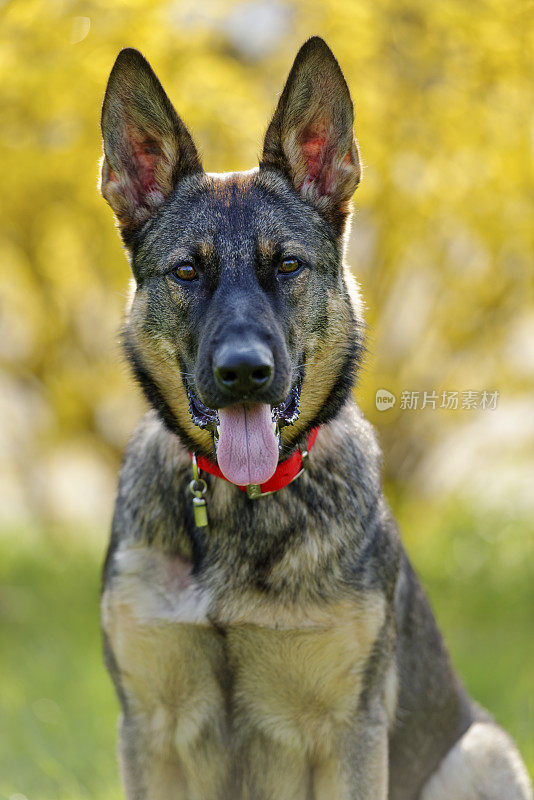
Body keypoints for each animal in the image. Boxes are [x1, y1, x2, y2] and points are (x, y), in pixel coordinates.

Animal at [98, 36, 532, 800]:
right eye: (187, 272)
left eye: (288, 266)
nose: (244, 371)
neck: (240, 503)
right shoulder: (150, 730)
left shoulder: (346, 734)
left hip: (477, 752)